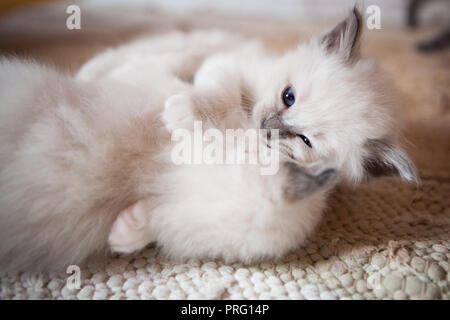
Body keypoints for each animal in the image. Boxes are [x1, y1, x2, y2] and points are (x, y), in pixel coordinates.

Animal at [0, 8, 418, 272]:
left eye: (304, 140)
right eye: (289, 96)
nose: (266, 126)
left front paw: (130, 232)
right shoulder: (229, 66)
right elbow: (218, 93)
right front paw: (184, 111)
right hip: (165, 49)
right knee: (117, 60)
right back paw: (92, 74)